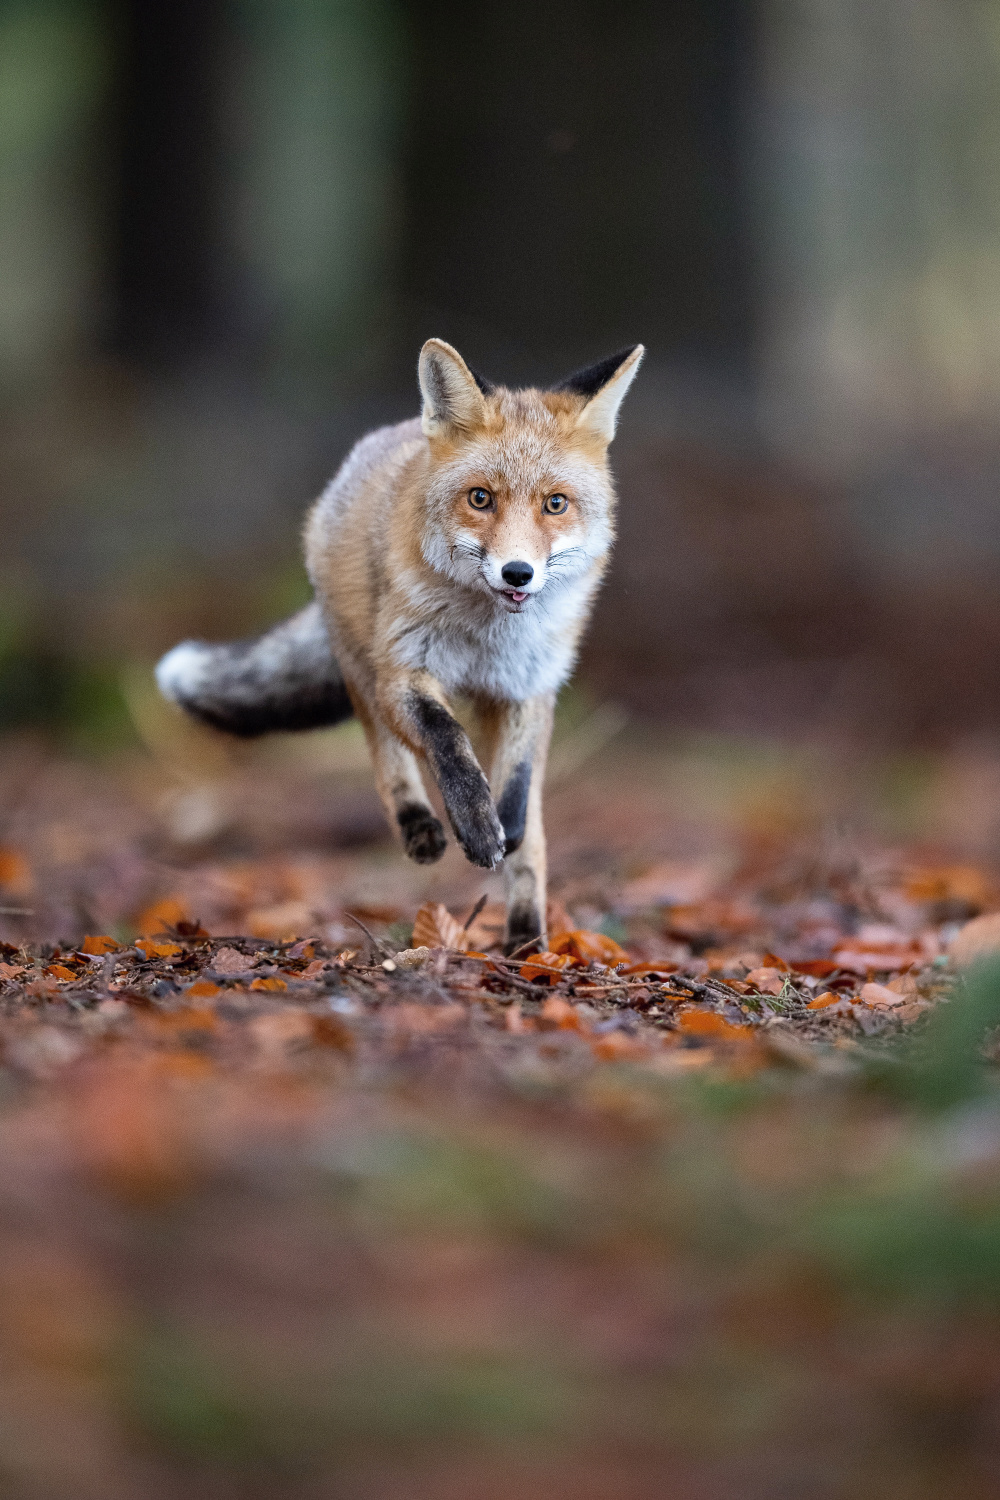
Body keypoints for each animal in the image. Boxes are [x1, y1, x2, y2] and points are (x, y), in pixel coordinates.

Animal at [153, 339, 644, 948]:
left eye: (556, 504)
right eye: (480, 498)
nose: (518, 573)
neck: (484, 639)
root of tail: (385, 436)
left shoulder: (529, 685)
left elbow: (518, 792)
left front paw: (502, 824)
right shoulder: (403, 671)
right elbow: (445, 738)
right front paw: (474, 823)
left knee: (531, 842)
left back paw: (528, 942)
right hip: (362, 662)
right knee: (384, 747)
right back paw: (419, 825)